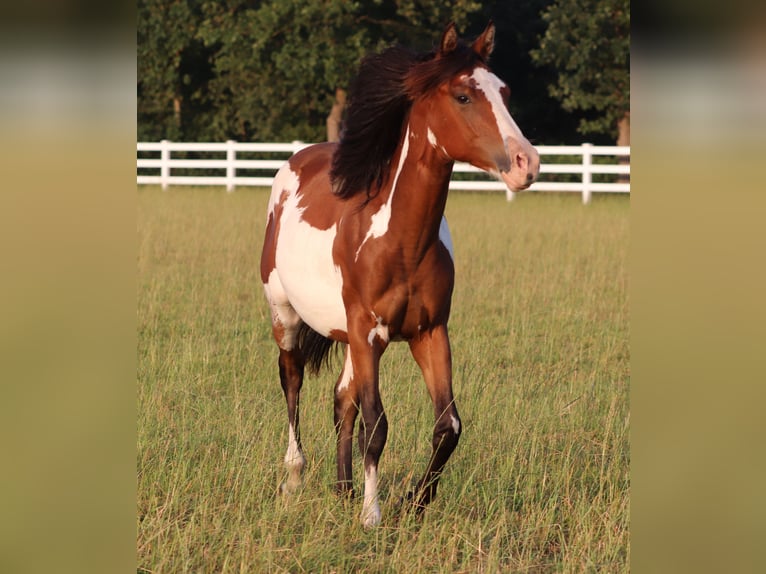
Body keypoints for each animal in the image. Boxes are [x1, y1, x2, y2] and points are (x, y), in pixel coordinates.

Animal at [259, 21, 539, 527]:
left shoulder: (428, 332)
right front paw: (372, 516)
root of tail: (297, 160)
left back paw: (344, 489)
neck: (402, 244)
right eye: (463, 95)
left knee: (341, 400)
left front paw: (414, 502)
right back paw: (295, 480)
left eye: (505, 92)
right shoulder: (369, 333)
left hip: (350, 336)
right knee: (292, 381)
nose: (528, 163)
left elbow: (448, 425)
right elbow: (377, 424)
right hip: (286, 315)